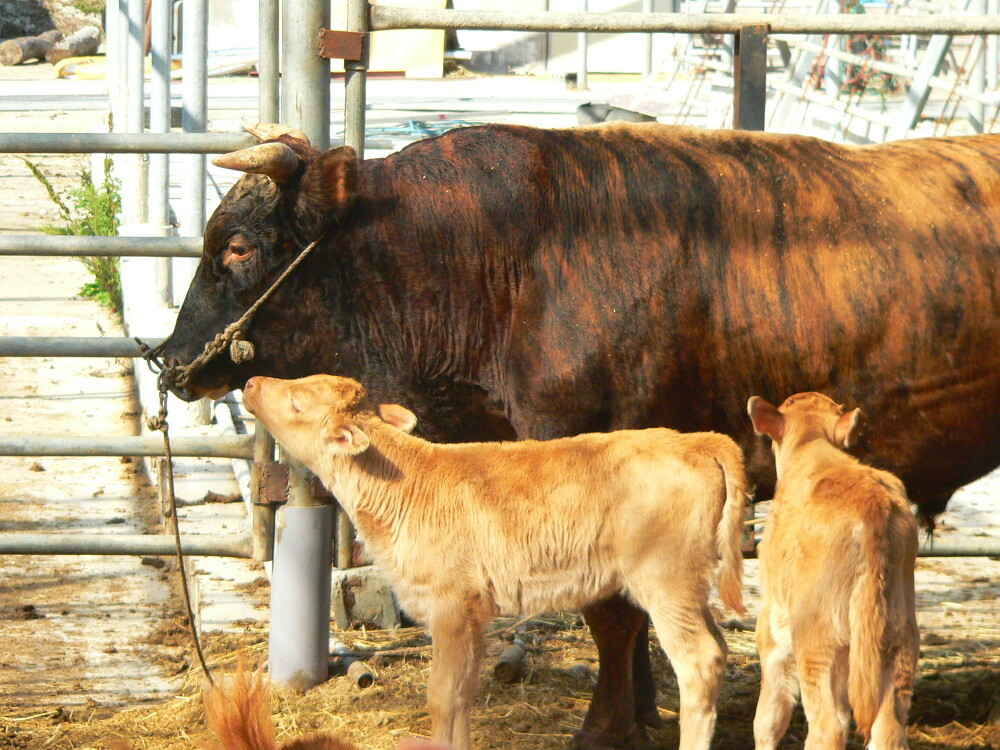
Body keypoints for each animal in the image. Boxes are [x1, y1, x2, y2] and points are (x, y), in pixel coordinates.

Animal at [244, 376, 752, 750]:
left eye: (296, 401)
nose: (250, 381)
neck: (408, 484)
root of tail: (695, 442)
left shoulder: (449, 603)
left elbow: (441, 697)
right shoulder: (472, 612)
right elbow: (463, 694)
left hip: (664, 579)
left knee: (699, 660)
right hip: (688, 583)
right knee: (718, 647)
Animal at [748, 394, 916, 750]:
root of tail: (872, 503)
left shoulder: (773, 620)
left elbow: (768, 718)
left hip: (818, 640)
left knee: (829, 724)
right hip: (899, 640)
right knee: (888, 728)